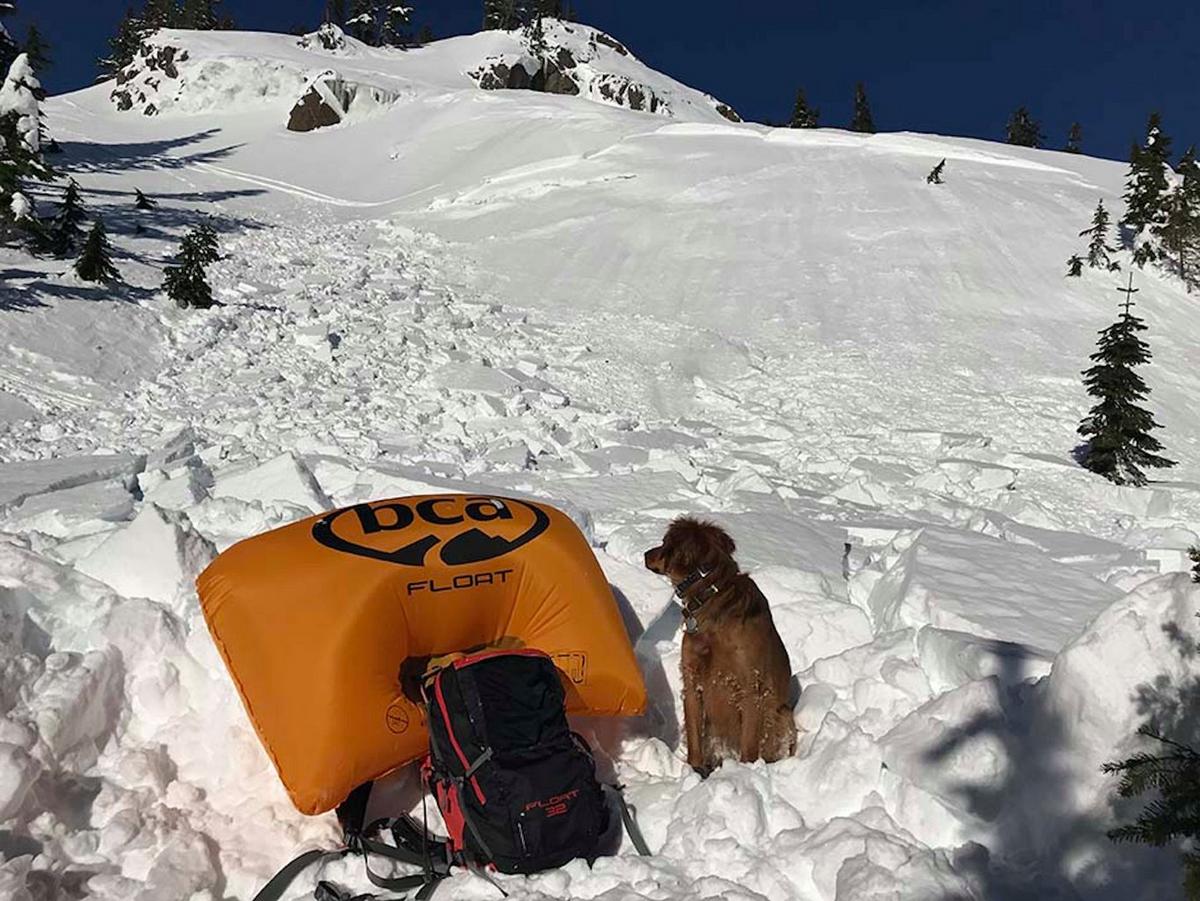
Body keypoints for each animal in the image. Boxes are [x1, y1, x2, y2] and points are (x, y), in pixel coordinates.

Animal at [643, 518, 801, 772]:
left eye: (665, 543)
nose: (646, 554)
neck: (712, 598)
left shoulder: (751, 688)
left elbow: (749, 743)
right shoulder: (692, 681)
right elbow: (694, 736)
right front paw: (695, 769)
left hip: (783, 715)